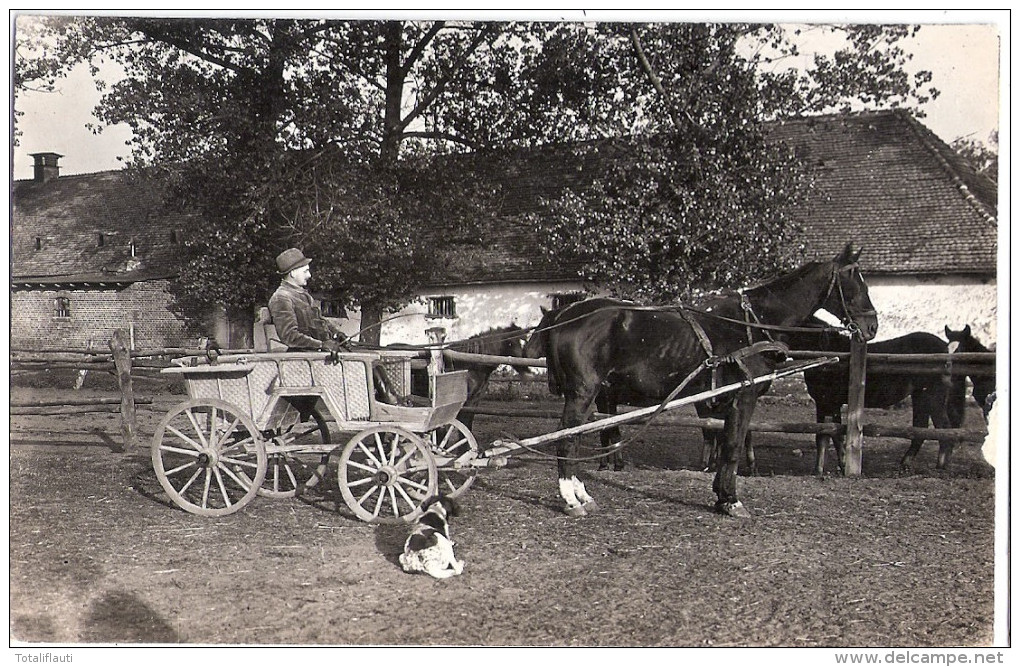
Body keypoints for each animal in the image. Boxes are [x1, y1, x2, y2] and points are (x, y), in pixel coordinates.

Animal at [526, 242, 877, 520]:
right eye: (853, 280)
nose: (872, 327)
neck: (753, 323)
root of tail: (564, 315)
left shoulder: (722, 400)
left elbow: (723, 443)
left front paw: (721, 496)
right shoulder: (743, 396)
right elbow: (732, 446)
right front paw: (732, 501)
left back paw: (582, 495)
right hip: (582, 392)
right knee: (566, 438)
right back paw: (571, 501)